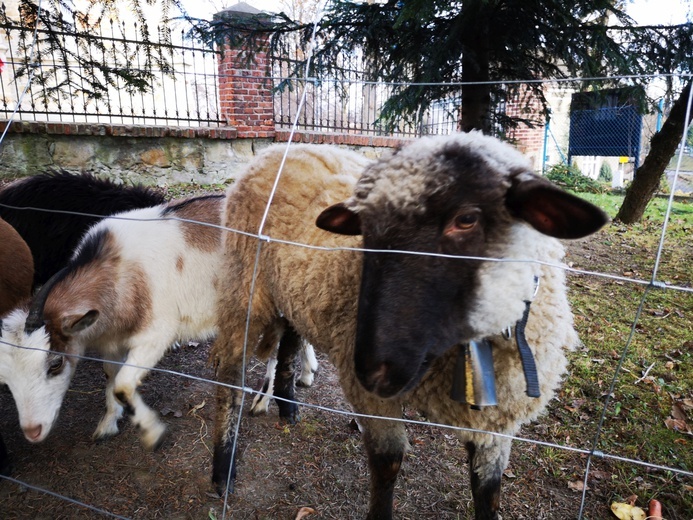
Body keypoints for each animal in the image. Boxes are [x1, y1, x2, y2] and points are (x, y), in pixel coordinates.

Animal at [209, 135, 604, 520]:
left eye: (467, 219)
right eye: (364, 229)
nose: (374, 370)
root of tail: (279, 148)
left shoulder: (498, 422)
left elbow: (488, 491)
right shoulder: (373, 398)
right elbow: (388, 464)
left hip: (292, 292)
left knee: (290, 344)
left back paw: (288, 408)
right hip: (244, 285)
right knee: (229, 378)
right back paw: (223, 472)